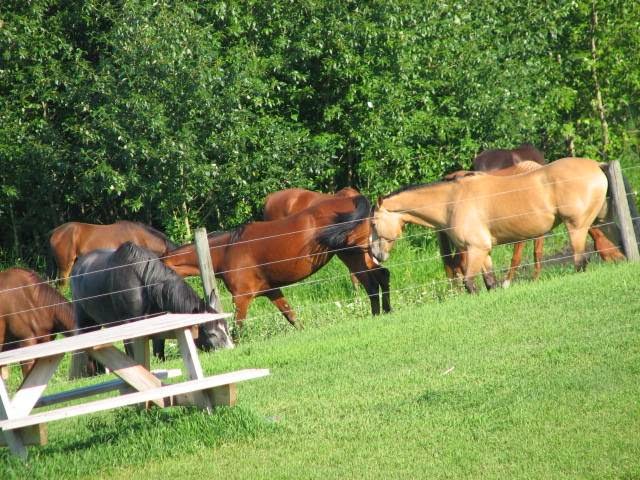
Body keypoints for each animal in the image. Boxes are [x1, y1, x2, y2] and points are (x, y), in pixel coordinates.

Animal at [71, 242, 234, 374]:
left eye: (226, 328)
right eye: (211, 333)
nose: (230, 350)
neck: (144, 284)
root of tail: (78, 266)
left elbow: (158, 348)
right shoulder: (130, 324)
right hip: (85, 321)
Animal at [370, 158, 616, 292]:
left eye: (372, 223)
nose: (375, 254)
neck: (452, 201)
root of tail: (596, 165)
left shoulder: (475, 250)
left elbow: (470, 284)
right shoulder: (483, 252)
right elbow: (490, 283)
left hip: (576, 228)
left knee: (580, 262)